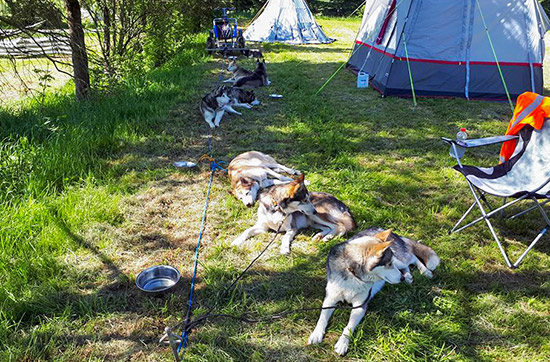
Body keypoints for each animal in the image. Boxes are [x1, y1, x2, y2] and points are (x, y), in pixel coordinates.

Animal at [310, 230, 440, 354]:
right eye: (388, 264)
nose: (401, 279)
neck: (353, 273)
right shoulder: (330, 298)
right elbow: (322, 318)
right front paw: (316, 334)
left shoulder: (360, 306)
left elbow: (348, 327)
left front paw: (342, 343)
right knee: (406, 266)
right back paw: (408, 276)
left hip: (399, 260)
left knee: (412, 258)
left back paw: (424, 272)